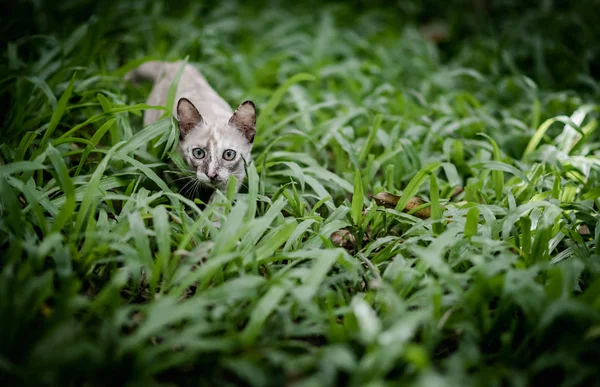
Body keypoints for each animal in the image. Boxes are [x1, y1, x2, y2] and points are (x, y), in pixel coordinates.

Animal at [125, 61, 256, 200]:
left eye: (229, 154)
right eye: (198, 153)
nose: (211, 175)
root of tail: (174, 63)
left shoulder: (236, 175)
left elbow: (219, 202)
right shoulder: (174, 165)